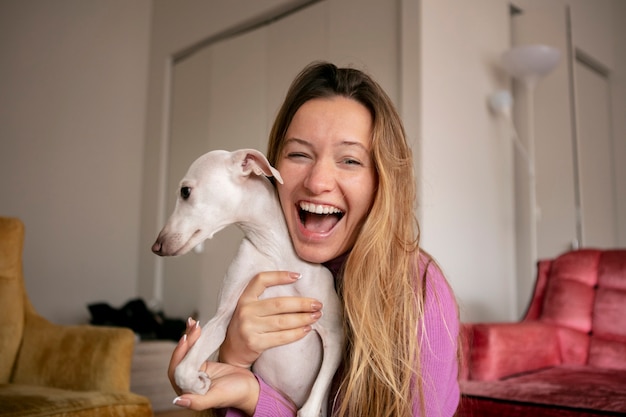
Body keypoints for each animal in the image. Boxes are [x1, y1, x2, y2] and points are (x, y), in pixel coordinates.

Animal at [153, 149, 344, 416]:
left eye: (185, 191)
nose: (156, 246)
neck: (274, 251)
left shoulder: (335, 335)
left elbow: (310, 406)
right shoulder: (224, 315)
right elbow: (183, 369)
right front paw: (197, 383)